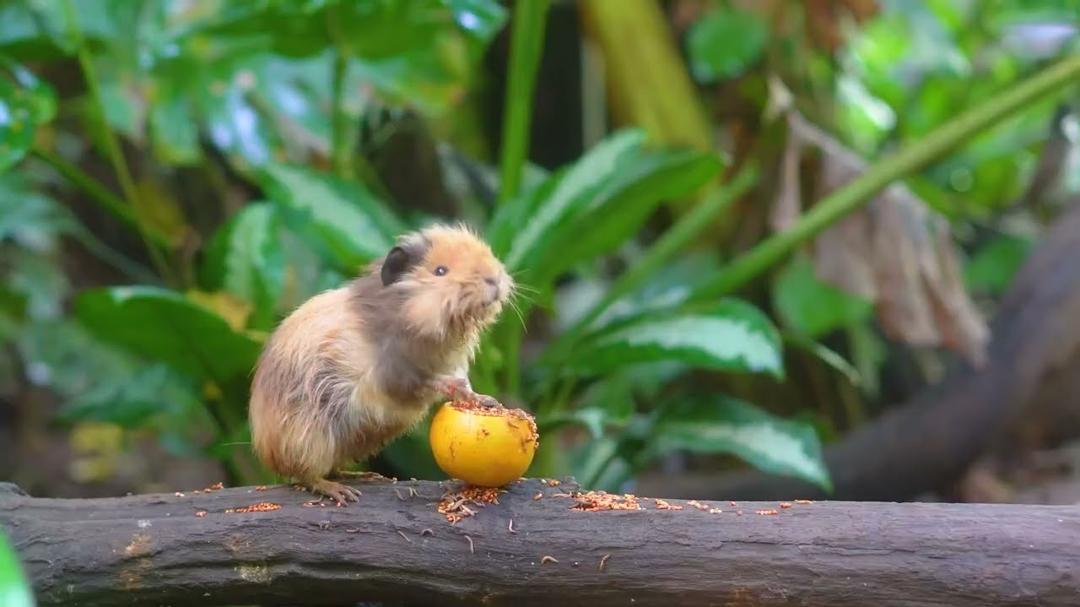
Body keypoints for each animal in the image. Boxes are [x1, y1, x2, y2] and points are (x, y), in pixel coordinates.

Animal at [248, 223, 514, 505]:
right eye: (440, 271)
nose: (494, 279)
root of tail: (268, 454)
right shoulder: (395, 374)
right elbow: (429, 381)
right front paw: (459, 388)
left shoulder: (451, 363)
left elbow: (463, 383)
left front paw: (485, 400)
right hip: (311, 440)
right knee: (309, 476)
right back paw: (344, 494)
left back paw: (366, 477)